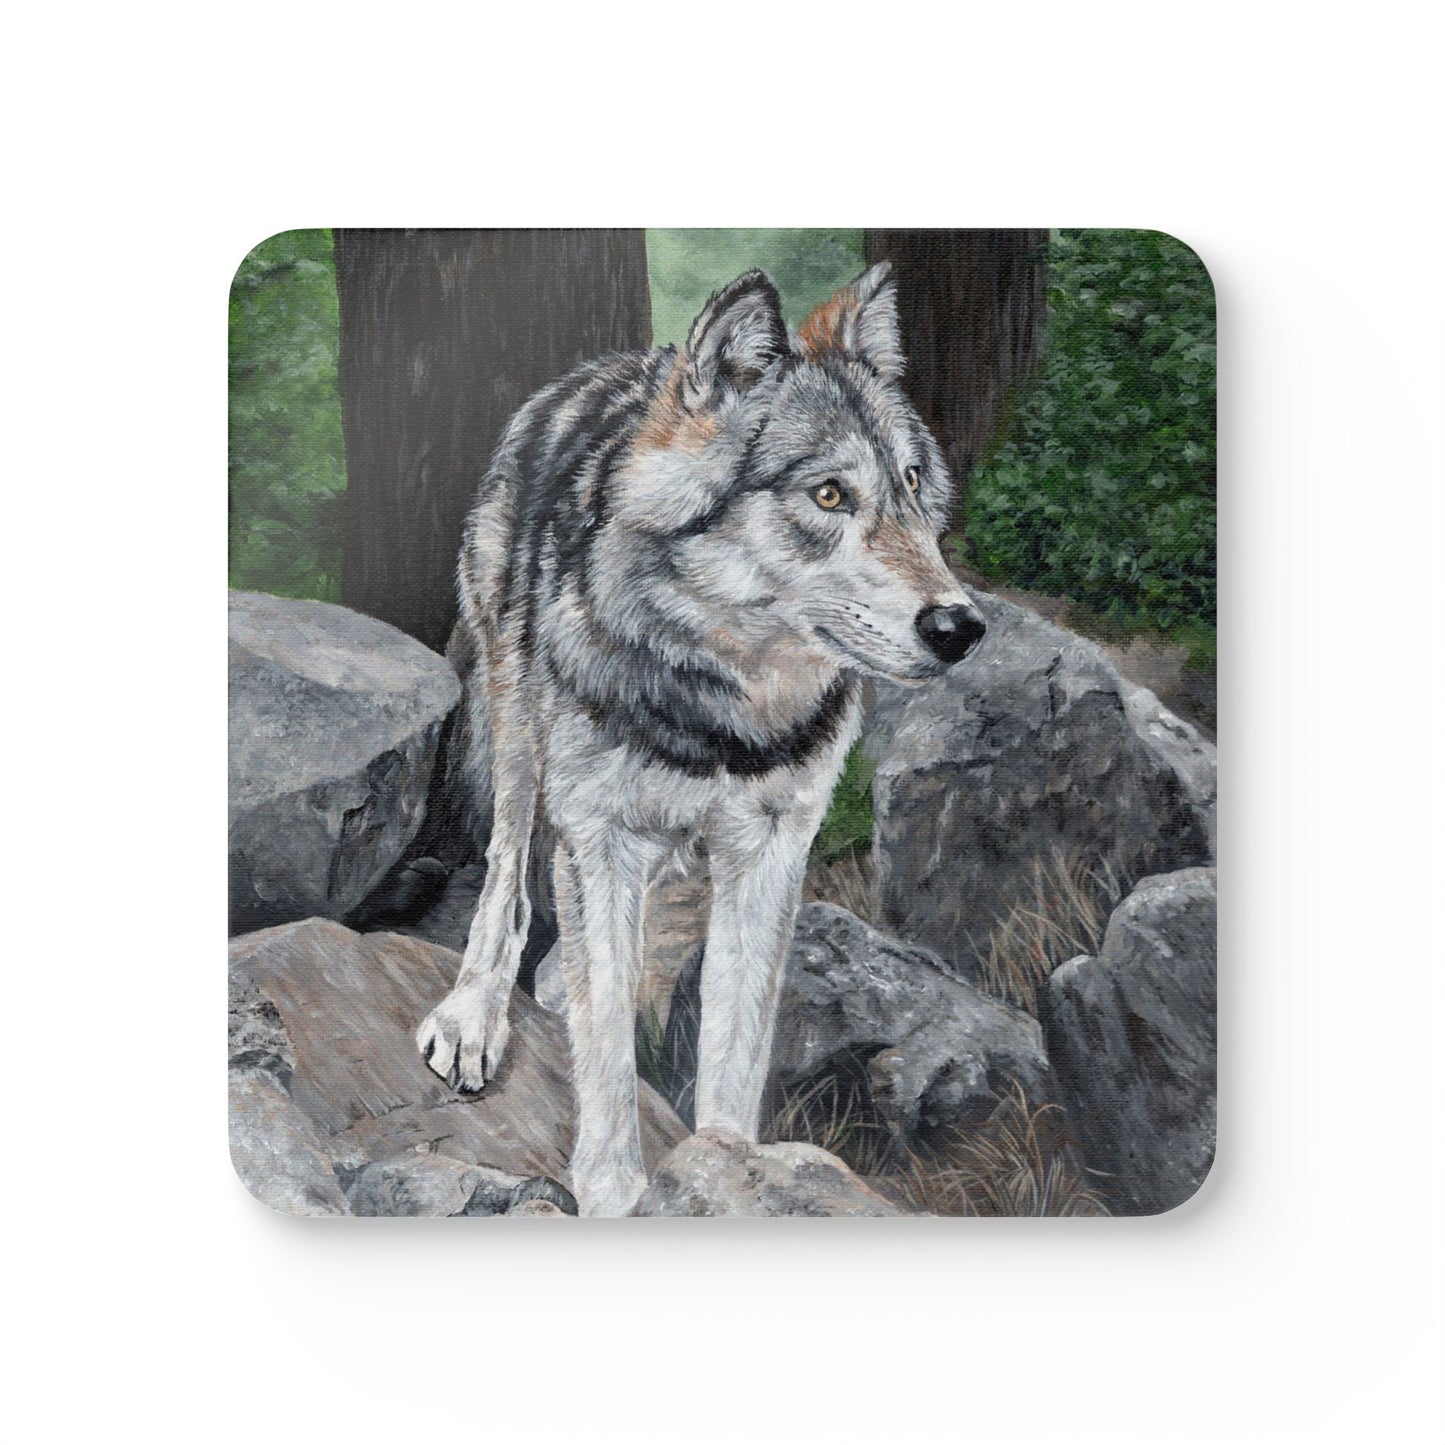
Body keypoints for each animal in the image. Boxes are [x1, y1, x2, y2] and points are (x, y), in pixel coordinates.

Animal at [416, 262, 986, 1215]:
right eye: (828, 494)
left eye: (912, 484)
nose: (961, 627)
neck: (724, 714)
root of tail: (605, 368)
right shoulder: (600, 834)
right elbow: (608, 1051)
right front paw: (615, 1193)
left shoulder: (771, 852)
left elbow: (732, 1049)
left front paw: (731, 1171)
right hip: (518, 726)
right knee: (507, 874)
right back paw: (476, 1012)